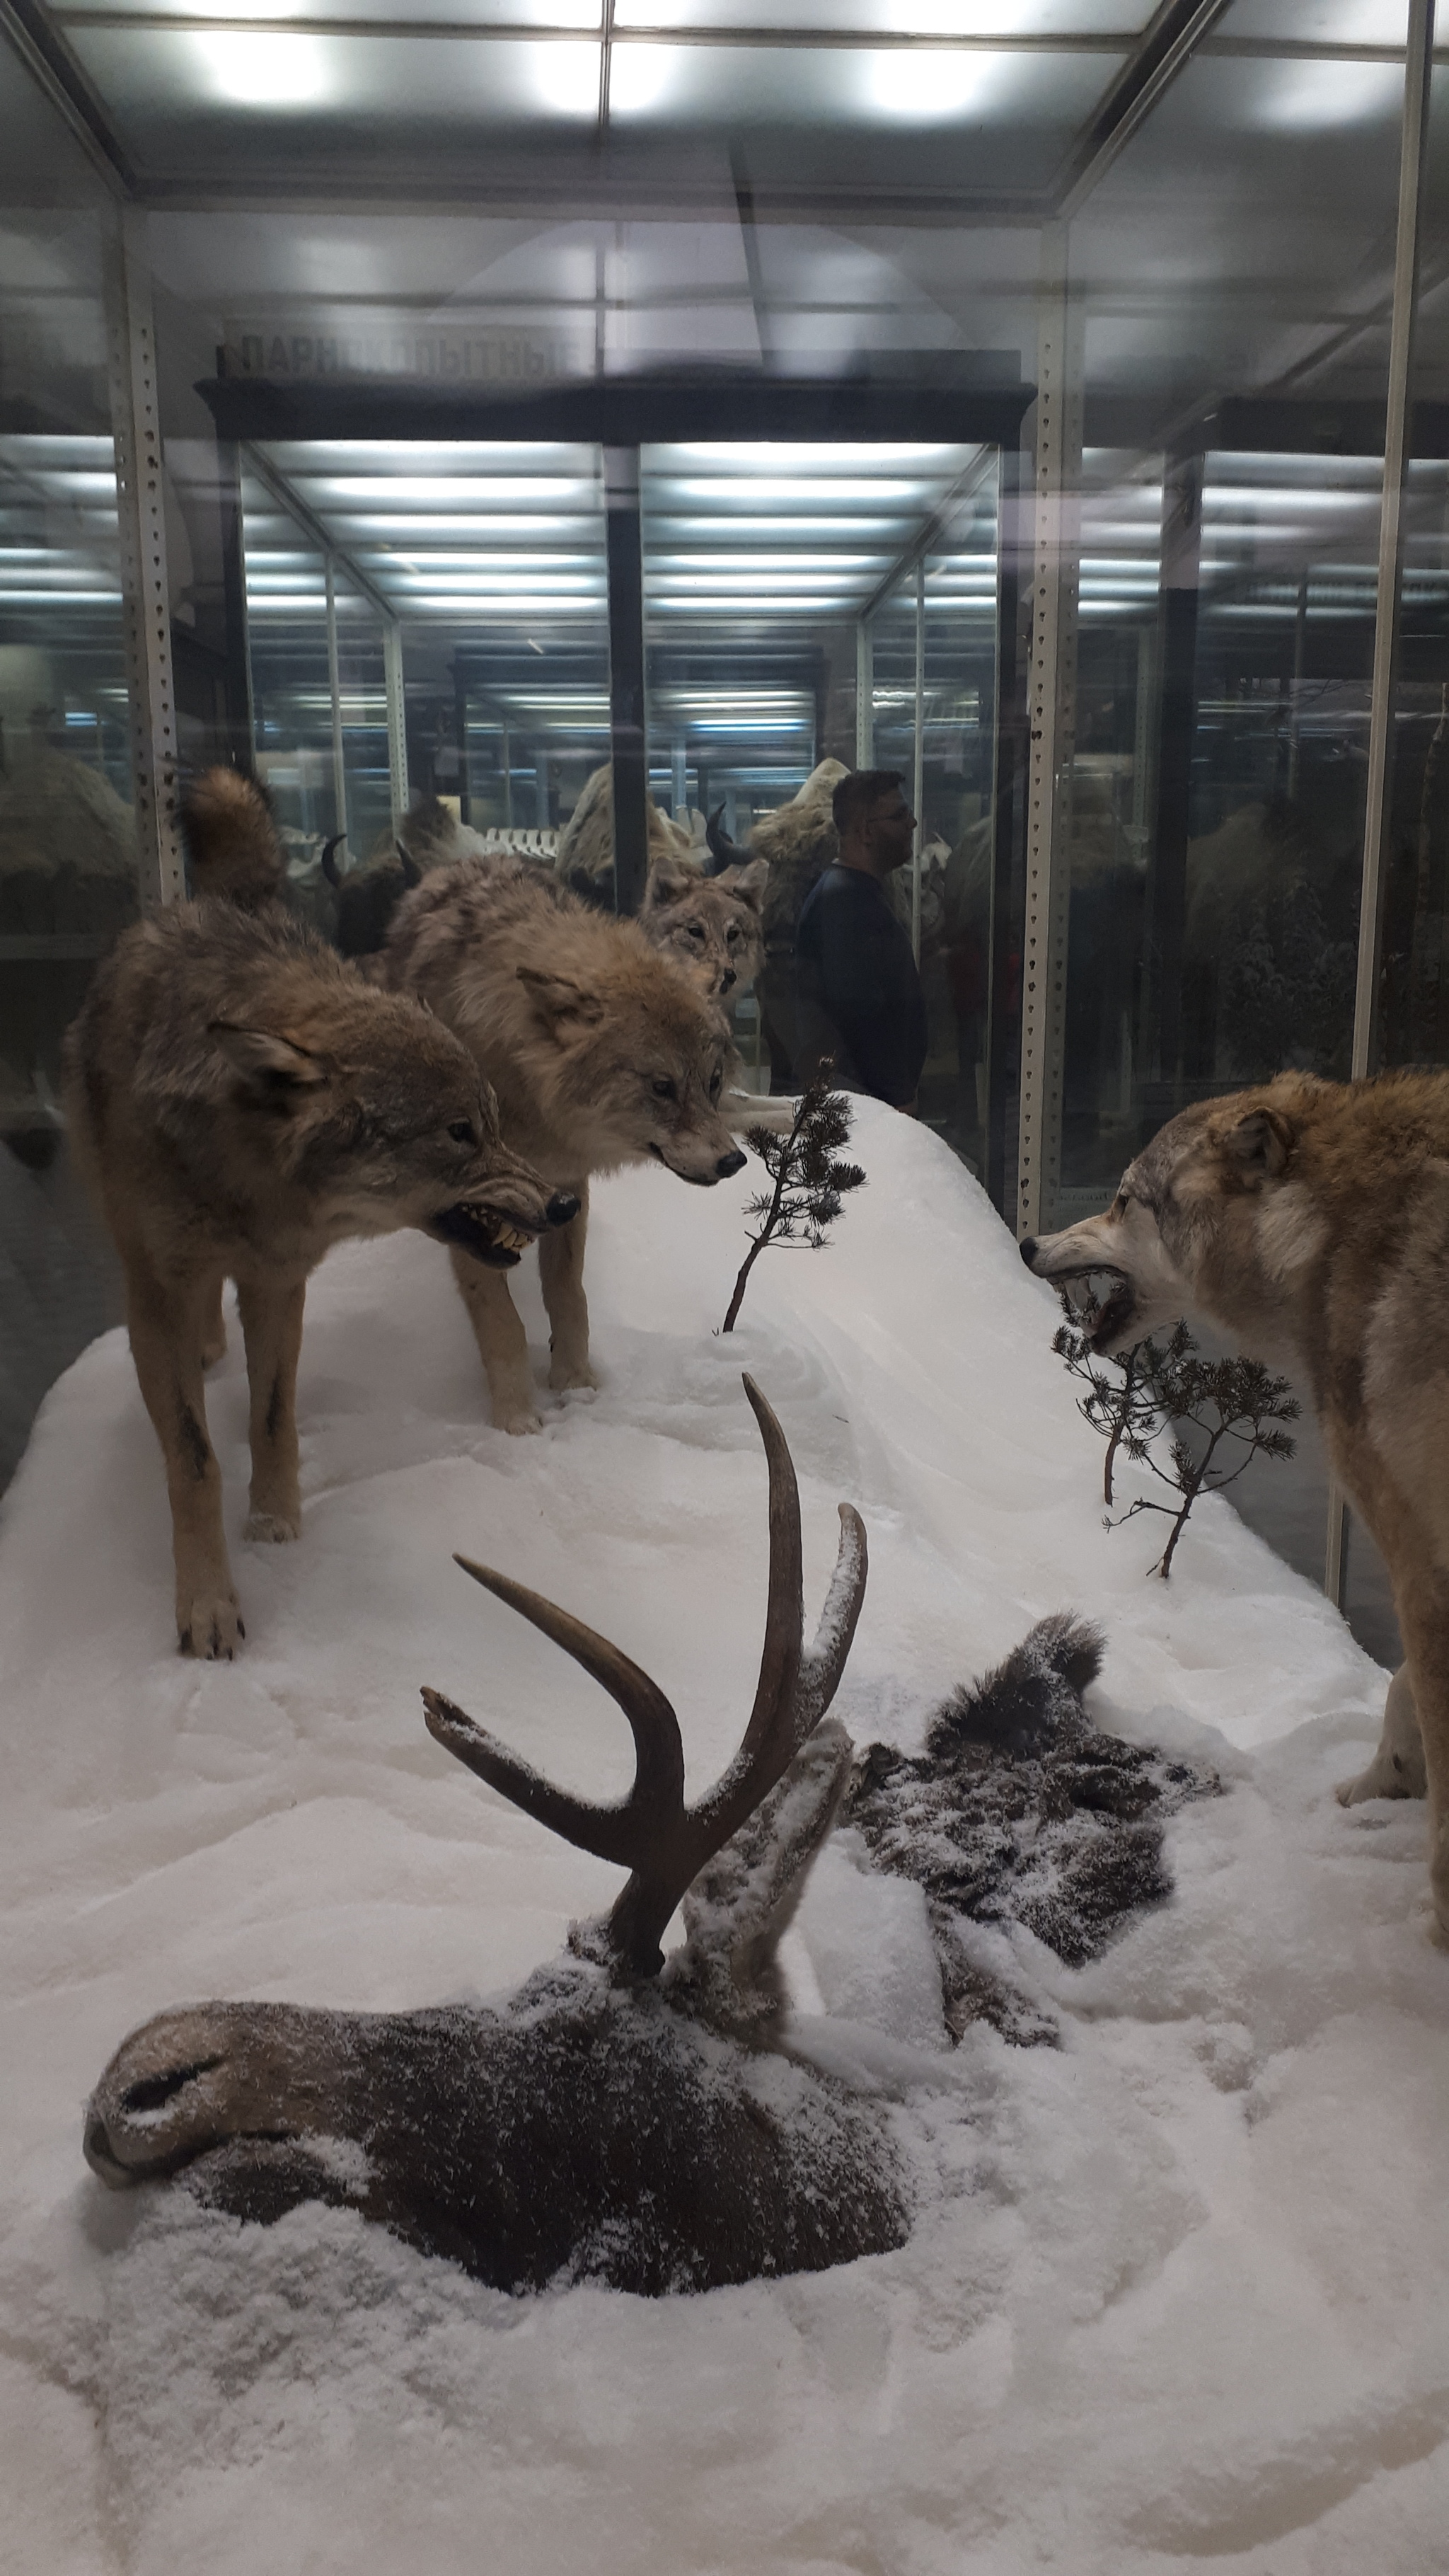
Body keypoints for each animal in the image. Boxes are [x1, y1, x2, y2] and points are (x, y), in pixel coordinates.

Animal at [65, 762, 568, 1659]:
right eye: (460, 1133)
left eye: (495, 1121)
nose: (564, 1199)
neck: (241, 1180)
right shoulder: (157, 1290)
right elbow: (194, 1460)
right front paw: (207, 1607)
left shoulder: (279, 1280)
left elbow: (274, 1415)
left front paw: (276, 1524)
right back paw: (203, 1349)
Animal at [386, 860, 746, 1432]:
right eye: (661, 1086)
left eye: (712, 1083)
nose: (734, 1160)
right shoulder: (467, 1213)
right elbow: (501, 1322)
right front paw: (516, 1422)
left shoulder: (570, 1184)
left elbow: (568, 1295)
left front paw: (577, 1387)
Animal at [1014, 1066, 1449, 1937]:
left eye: (1122, 1200)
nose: (1027, 1245)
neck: (1332, 1232)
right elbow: (1400, 1686)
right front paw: (1382, 1783)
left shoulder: (1415, 1546)